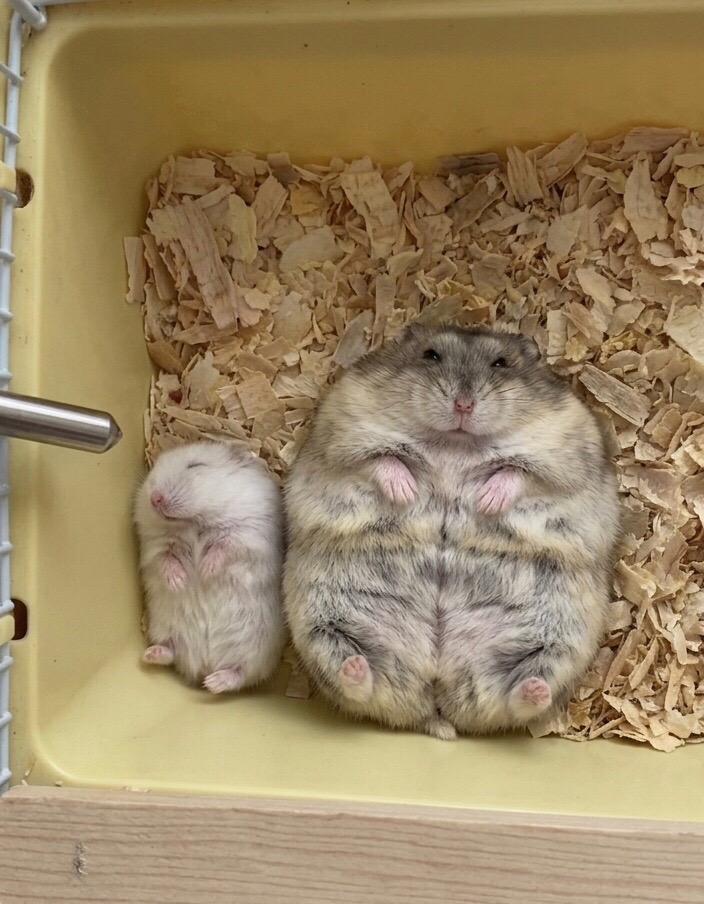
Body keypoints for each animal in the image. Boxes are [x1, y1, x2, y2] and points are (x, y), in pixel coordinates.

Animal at [134, 441, 285, 693]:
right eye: (153, 469)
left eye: (196, 465)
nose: (154, 498)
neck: (192, 522)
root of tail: (205, 664)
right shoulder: (157, 545)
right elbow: (167, 561)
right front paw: (180, 582)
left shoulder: (247, 535)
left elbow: (222, 550)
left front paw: (204, 571)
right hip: (163, 629)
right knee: (170, 652)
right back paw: (151, 655)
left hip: (257, 652)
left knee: (239, 674)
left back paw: (214, 683)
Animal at [284, 323, 620, 738]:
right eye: (430, 355)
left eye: (501, 362)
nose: (463, 405)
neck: (455, 443)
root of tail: (438, 697)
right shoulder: (342, 436)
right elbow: (385, 459)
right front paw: (407, 492)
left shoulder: (564, 457)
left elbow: (514, 472)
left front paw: (484, 502)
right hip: (325, 628)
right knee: (358, 683)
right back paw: (359, 668)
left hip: (557, 646)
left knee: (521, 694)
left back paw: (531, 689)